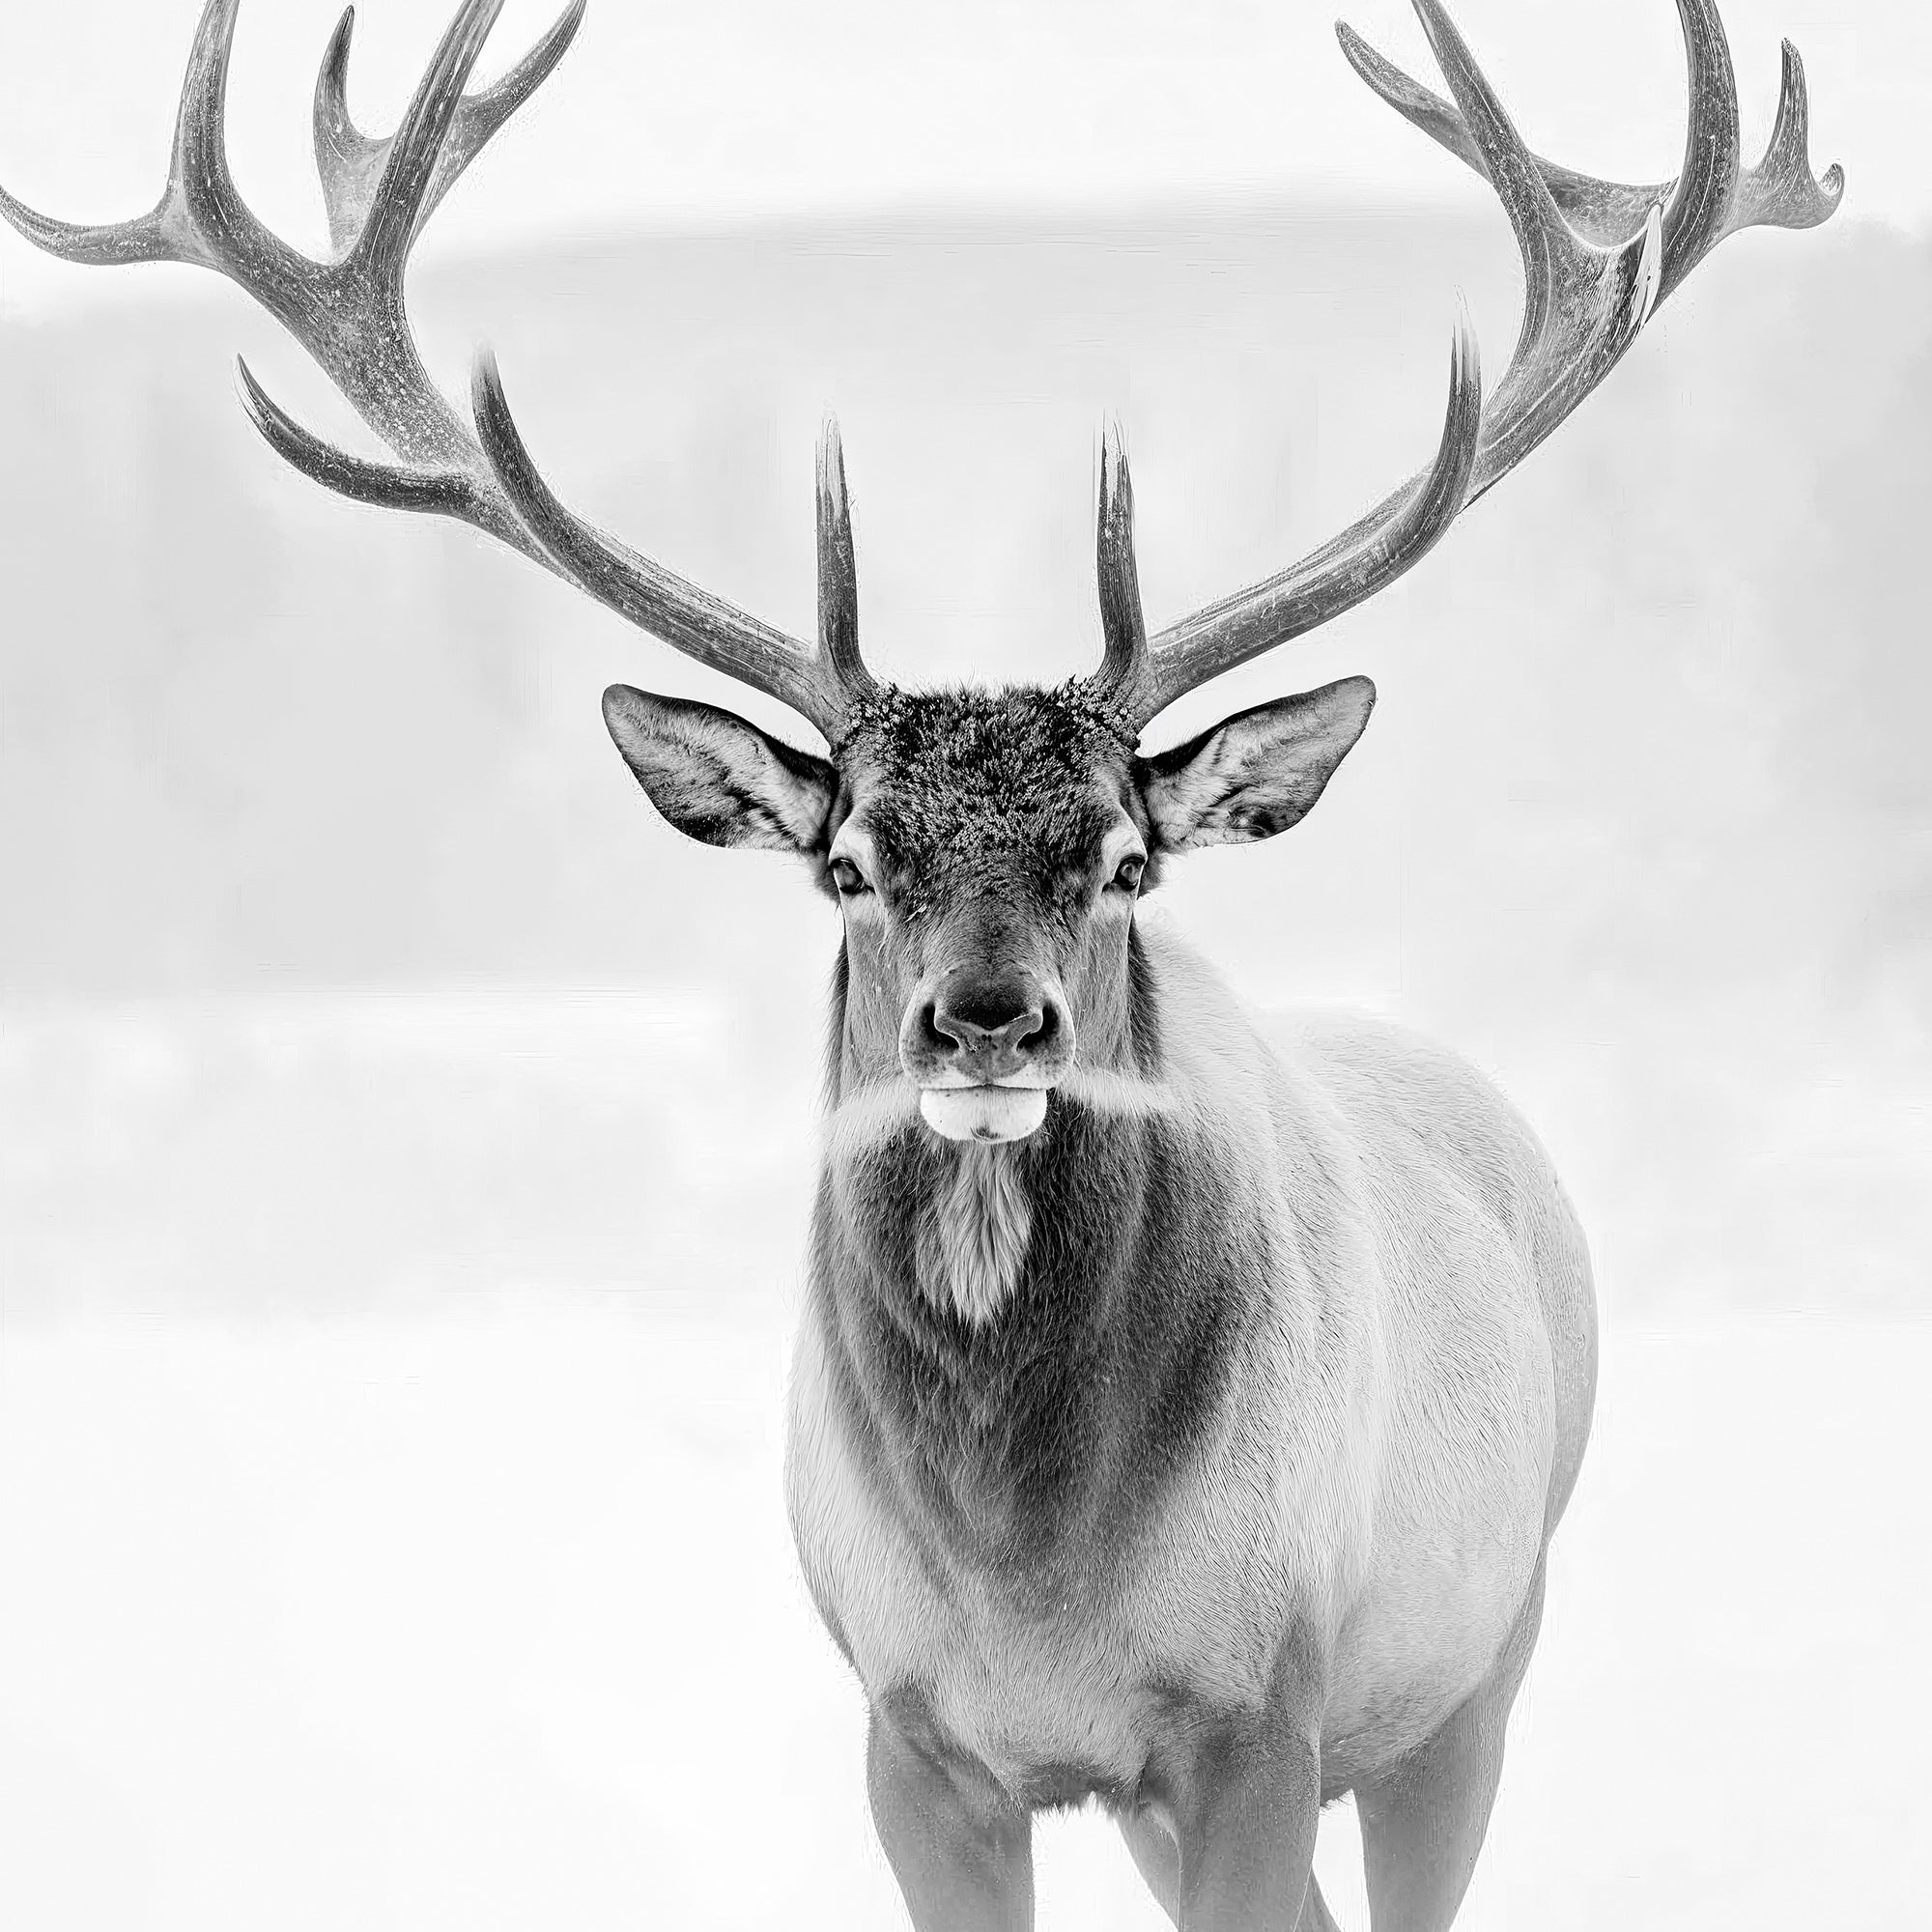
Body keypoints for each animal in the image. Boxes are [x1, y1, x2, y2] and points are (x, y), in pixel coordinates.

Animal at [3, 0, 1840, 1925]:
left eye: (1123, 860)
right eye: (848, 865)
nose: (986, 1022)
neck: (1026, 1572)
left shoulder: (1260, 1711)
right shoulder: (910, 1736)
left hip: (1477, 1662)